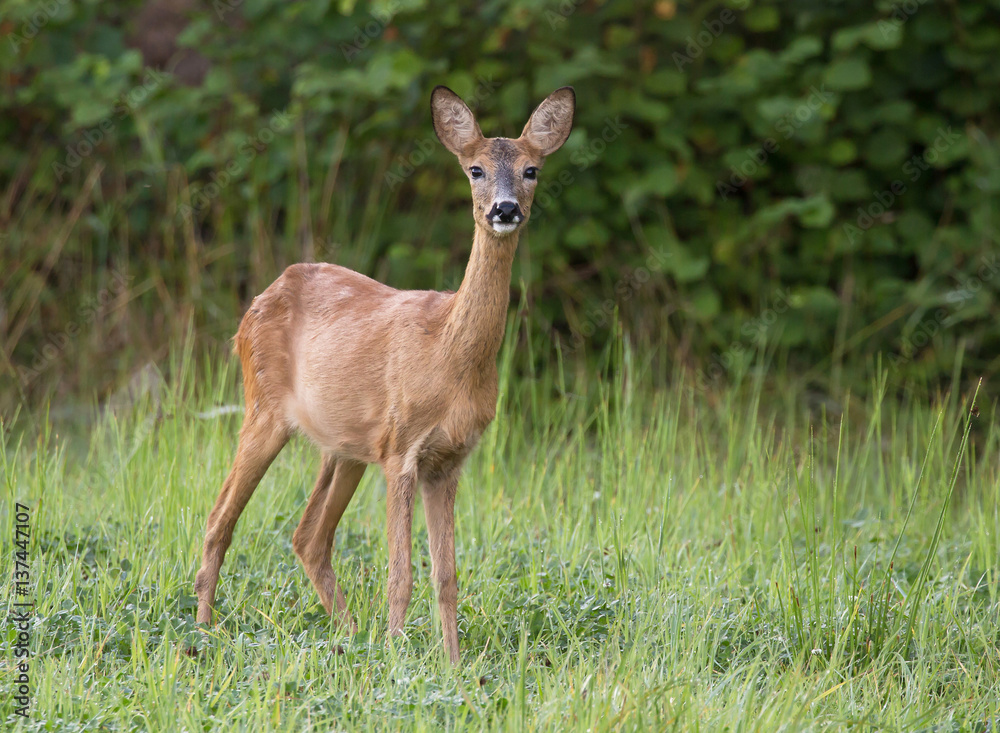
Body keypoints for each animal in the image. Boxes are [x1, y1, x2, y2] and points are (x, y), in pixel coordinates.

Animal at [193, 85, 575, 665]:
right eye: (475, 170)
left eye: (531, 169)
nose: (505, 209)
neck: (450, 355)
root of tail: (262, 295)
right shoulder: (401, 449)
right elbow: (400, 575)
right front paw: (399, 659)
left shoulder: (449, 460)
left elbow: (447, 576)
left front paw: (452, 664)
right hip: (263, 409)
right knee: (220, 520)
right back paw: (204, 633)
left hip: (344, 449)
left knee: (308, 536)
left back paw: (350, 636)